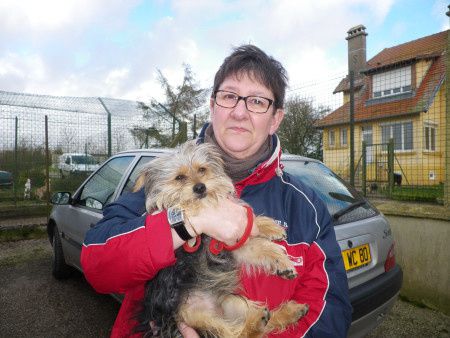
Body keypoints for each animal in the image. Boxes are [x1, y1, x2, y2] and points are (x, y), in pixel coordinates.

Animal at [135, 142, 308, 338]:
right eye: (179, 177)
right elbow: (186, 206)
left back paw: (289, 313)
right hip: (195, 318)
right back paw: (257, 323)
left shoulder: (229, 243)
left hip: (233, 302)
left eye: (202, 169)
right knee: (235, 334)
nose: (200, 187)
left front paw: (272, 236)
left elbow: (259, 246)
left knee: (262, 323)